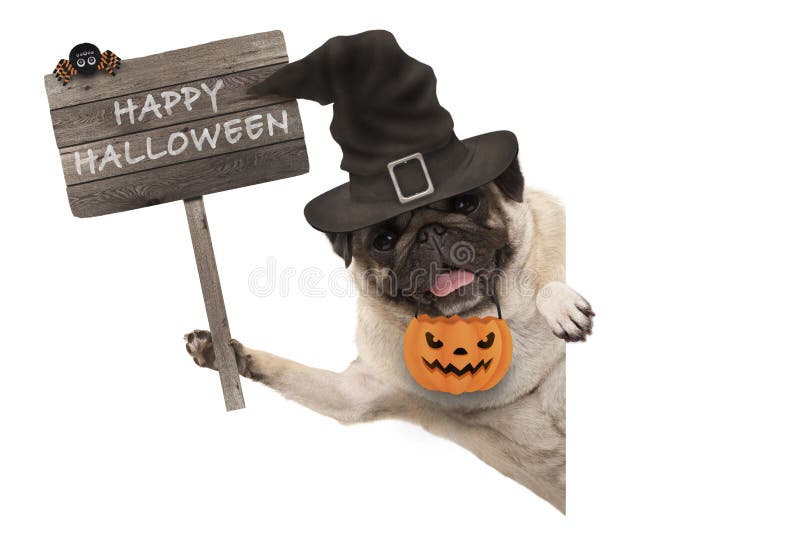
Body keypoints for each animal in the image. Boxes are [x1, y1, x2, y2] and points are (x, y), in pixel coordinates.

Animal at [184, 158, 592, 510]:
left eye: (467, 202)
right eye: (384, 240)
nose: (430, 231)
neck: (482, 320)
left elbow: (547, 288)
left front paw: (561, 307)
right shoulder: (359, 393)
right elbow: (290, 372)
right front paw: (227, 354)